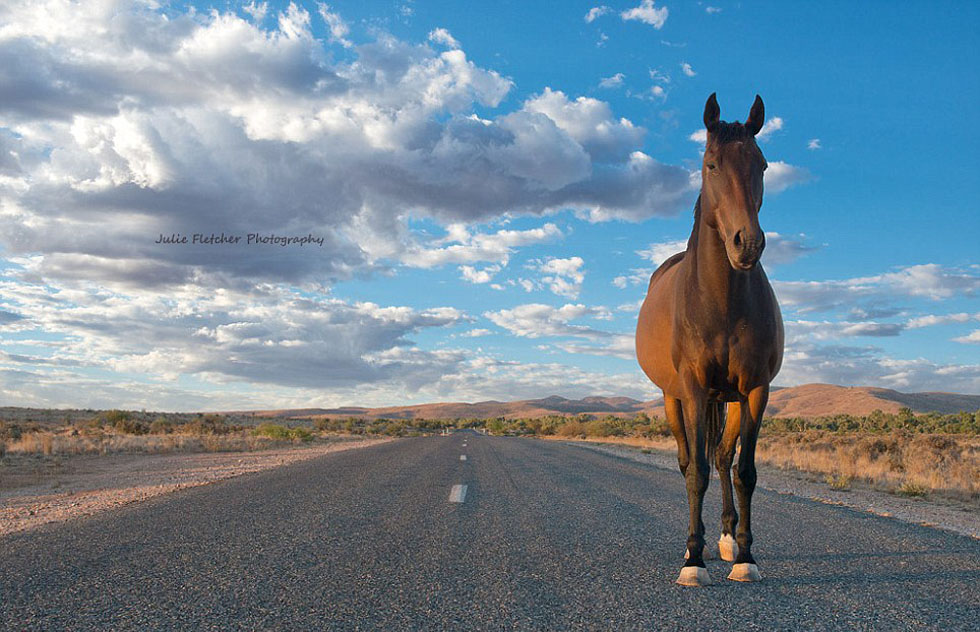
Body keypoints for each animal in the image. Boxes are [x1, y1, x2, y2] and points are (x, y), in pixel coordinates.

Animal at [636, 94, 788, 588]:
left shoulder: (756, 390)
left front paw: (746, 556)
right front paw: (692, 560)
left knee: (723, 459)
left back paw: (724, 539)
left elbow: (745, 472)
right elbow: (696, 474)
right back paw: (697, 542)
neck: (721, 301)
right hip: (674, 398)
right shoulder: (696, 389)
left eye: (762, 164)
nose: (747, 244)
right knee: (691, 462)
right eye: (711, 164)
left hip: (734, 399)